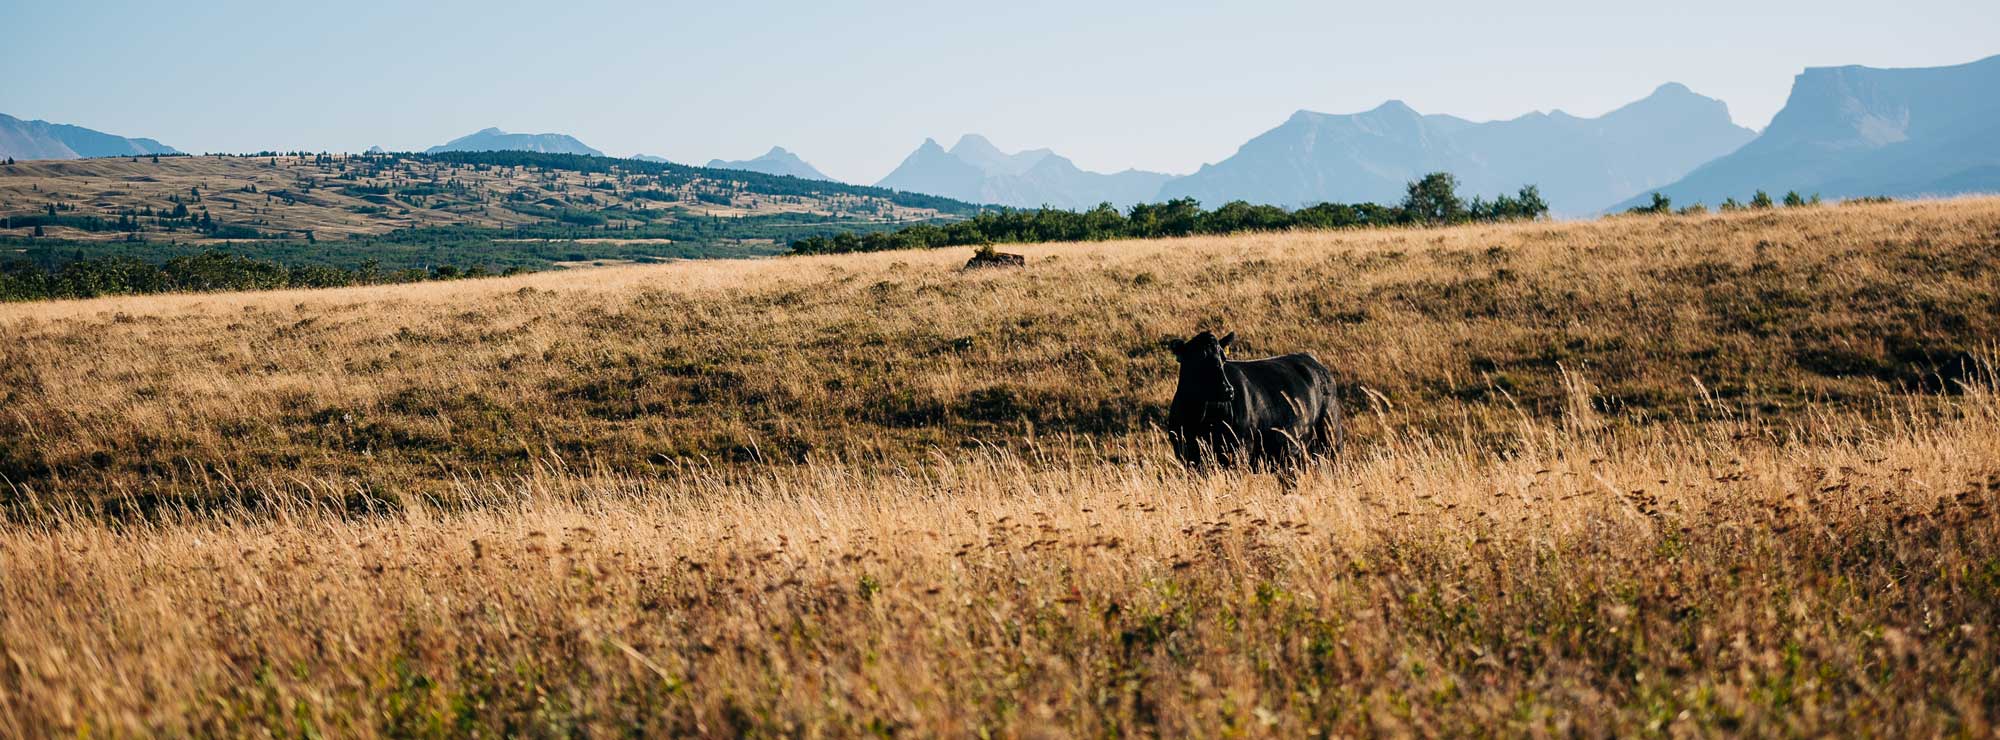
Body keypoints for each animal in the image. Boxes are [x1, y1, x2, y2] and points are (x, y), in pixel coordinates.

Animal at [1168, 330, 1336, 472]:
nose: (1228, 390)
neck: (1200, 417)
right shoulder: (1186, 454)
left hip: (1330, 435)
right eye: (1199, 359)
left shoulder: (1240, 450)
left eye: (1223, 358)